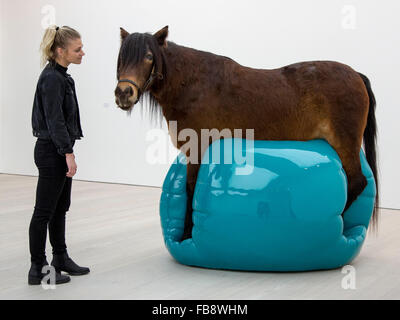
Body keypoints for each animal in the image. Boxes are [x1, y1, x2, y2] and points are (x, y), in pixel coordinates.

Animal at [115, 25, 378, 240]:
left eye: (149, 57)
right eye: (121, 57)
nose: (124, 93)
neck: (192, 85)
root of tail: (356, 74)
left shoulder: (197, 148)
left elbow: (191, 188)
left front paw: (187, 235)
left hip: (345, 144)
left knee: (358, 182)